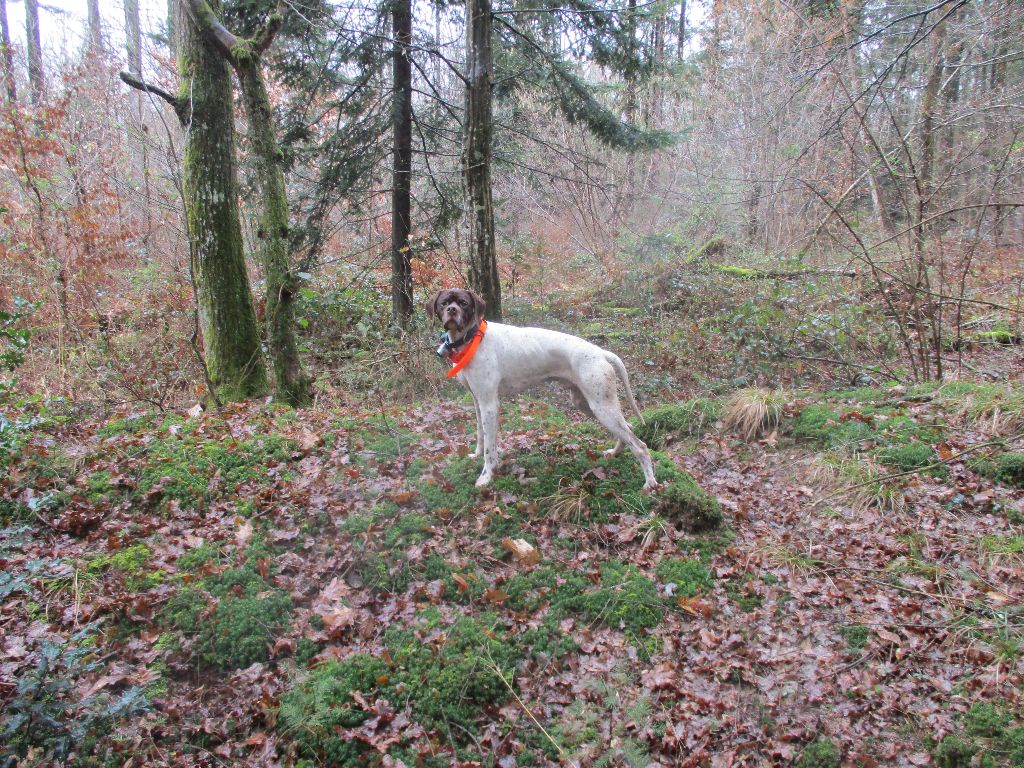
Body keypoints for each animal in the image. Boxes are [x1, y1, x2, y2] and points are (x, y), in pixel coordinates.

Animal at [423, 288, 655, 493]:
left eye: (463, 303)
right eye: (444, 302)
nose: (452, 310)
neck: (472, 338)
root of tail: (601, 352)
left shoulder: (489, 404)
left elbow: (490, 447)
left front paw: (487, 476)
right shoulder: (477, 400)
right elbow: (481, 436)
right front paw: (476, 455)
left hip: (602, 407)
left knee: (640, 446)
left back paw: (650, 484)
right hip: (587, 403)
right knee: (629, 427)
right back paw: (615, 452)